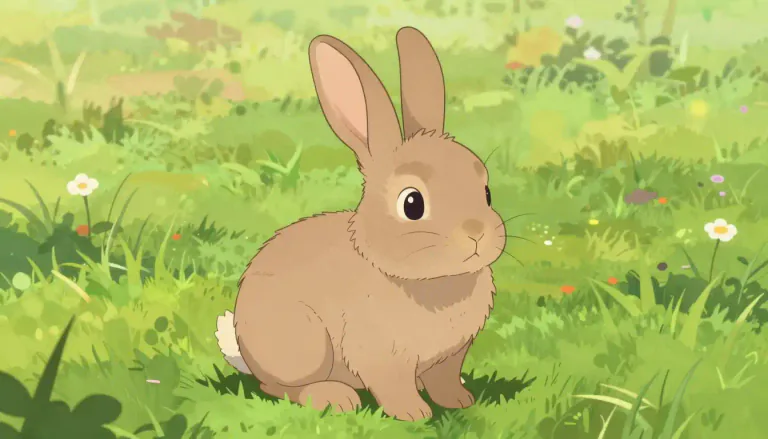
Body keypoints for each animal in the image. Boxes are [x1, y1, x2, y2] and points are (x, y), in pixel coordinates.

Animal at [215, 26, 507, 422]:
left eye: (487, 192)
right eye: (412, 203)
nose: (476, 233)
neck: (429, 282)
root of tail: (244, 350)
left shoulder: (450, 357)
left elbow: (444, 379)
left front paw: (459, 400)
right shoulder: (380, 354)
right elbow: (392, 386)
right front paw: (414, 413)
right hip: (305, 346)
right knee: (277, 387)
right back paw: (335, 398)